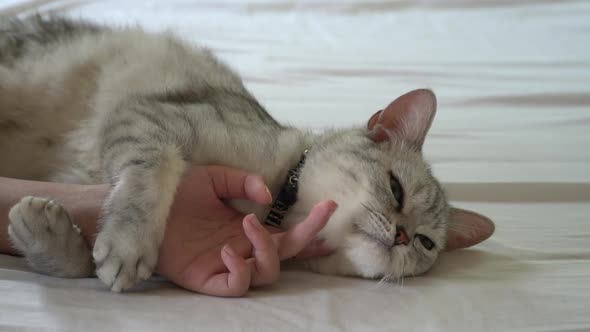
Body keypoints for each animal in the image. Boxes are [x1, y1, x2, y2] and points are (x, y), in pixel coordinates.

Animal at [1, 16, 494, 290]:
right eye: (396, 190)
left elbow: (77, 254)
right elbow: (150, 171)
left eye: (426, 243)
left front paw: (49, 238)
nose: (403, 236)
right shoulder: (148, 115)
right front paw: (128, 242)